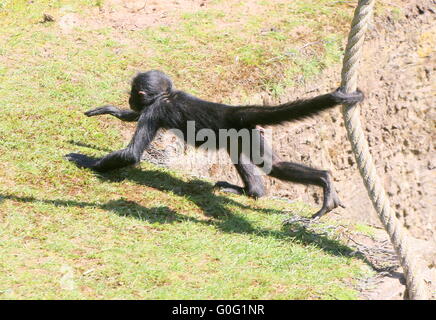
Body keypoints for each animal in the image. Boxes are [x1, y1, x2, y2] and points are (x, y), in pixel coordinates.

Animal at [65, 70, 364, 219]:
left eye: (132, 93)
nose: (128, 99)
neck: (168, 95)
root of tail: (233, 111)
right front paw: (111, 111)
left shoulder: (154, 110)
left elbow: (131, 155)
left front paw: (85, 161)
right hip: (245, 134)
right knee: (258, 161)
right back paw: (252, 191)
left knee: (274, 165)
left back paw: (324, 180)